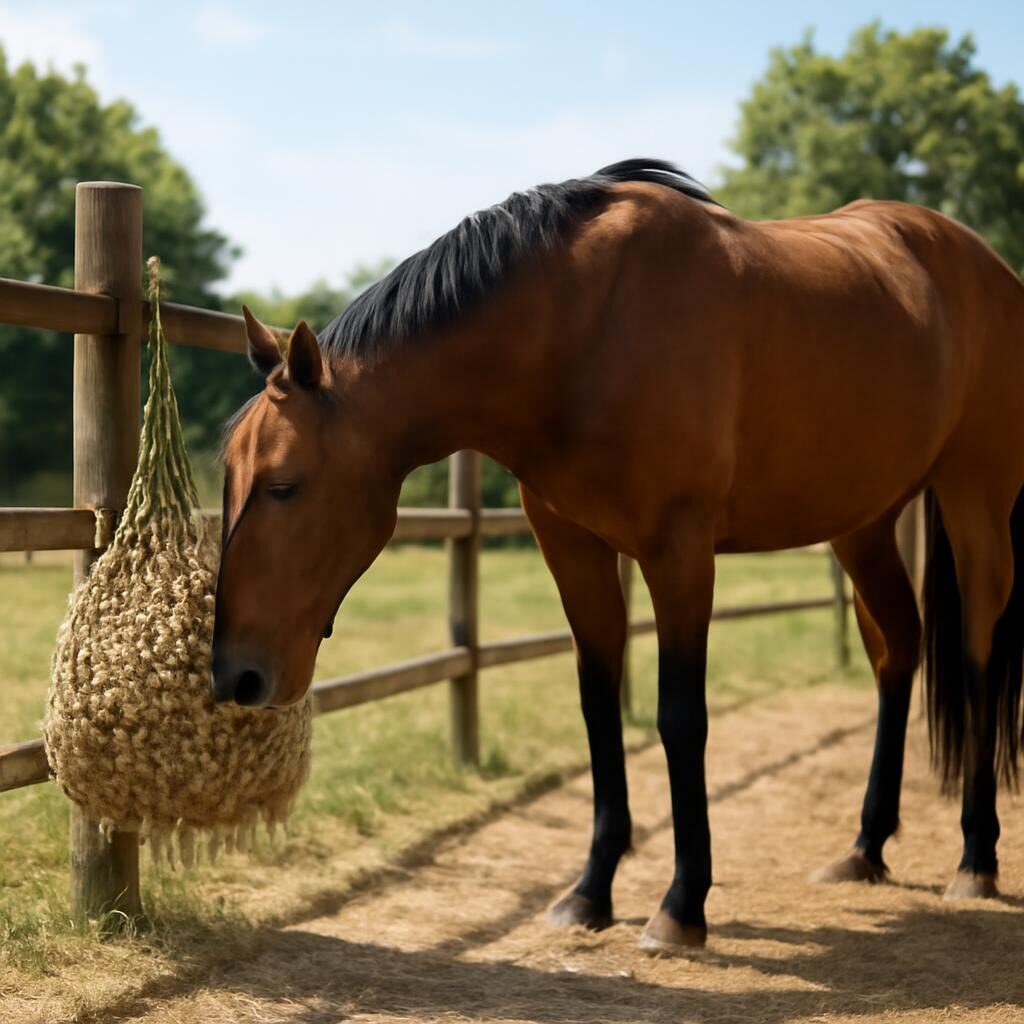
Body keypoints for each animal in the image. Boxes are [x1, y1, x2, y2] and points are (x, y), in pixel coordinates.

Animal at [212, 158, 1024, 954]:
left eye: (284, 485)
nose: (235, 676)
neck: (581, 328)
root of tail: (990, 268)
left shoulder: (680, 551)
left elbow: (680, 717)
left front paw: (681, 906)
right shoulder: (572, 546)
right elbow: (598, 709)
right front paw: (590, 892)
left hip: (974, 500)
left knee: (978, 659)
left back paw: (975, 859)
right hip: (863, 523)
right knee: (897, 651)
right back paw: (866, 848)